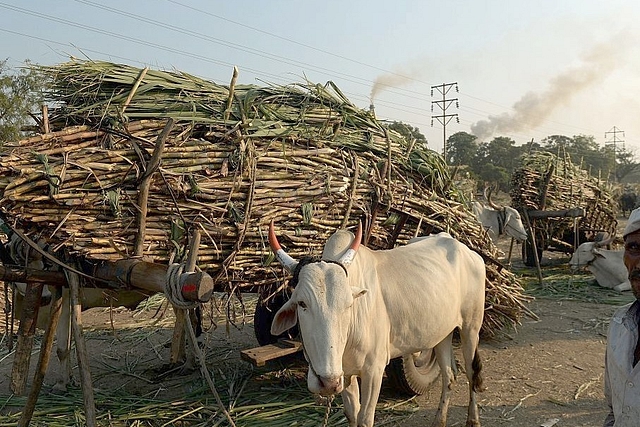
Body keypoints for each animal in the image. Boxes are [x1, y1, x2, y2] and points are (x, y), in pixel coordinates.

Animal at [268, 222, 482, 427]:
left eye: (349, 304)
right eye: (302, 303)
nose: (328, 382)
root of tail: (465, 250)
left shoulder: (374, 370)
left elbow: (365, 418)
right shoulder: (345, 374)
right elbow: (352, 415)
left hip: (471, 328)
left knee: (471, 373)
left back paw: (473, 420)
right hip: (442, 334)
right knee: (449, 376)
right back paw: (439, 421)